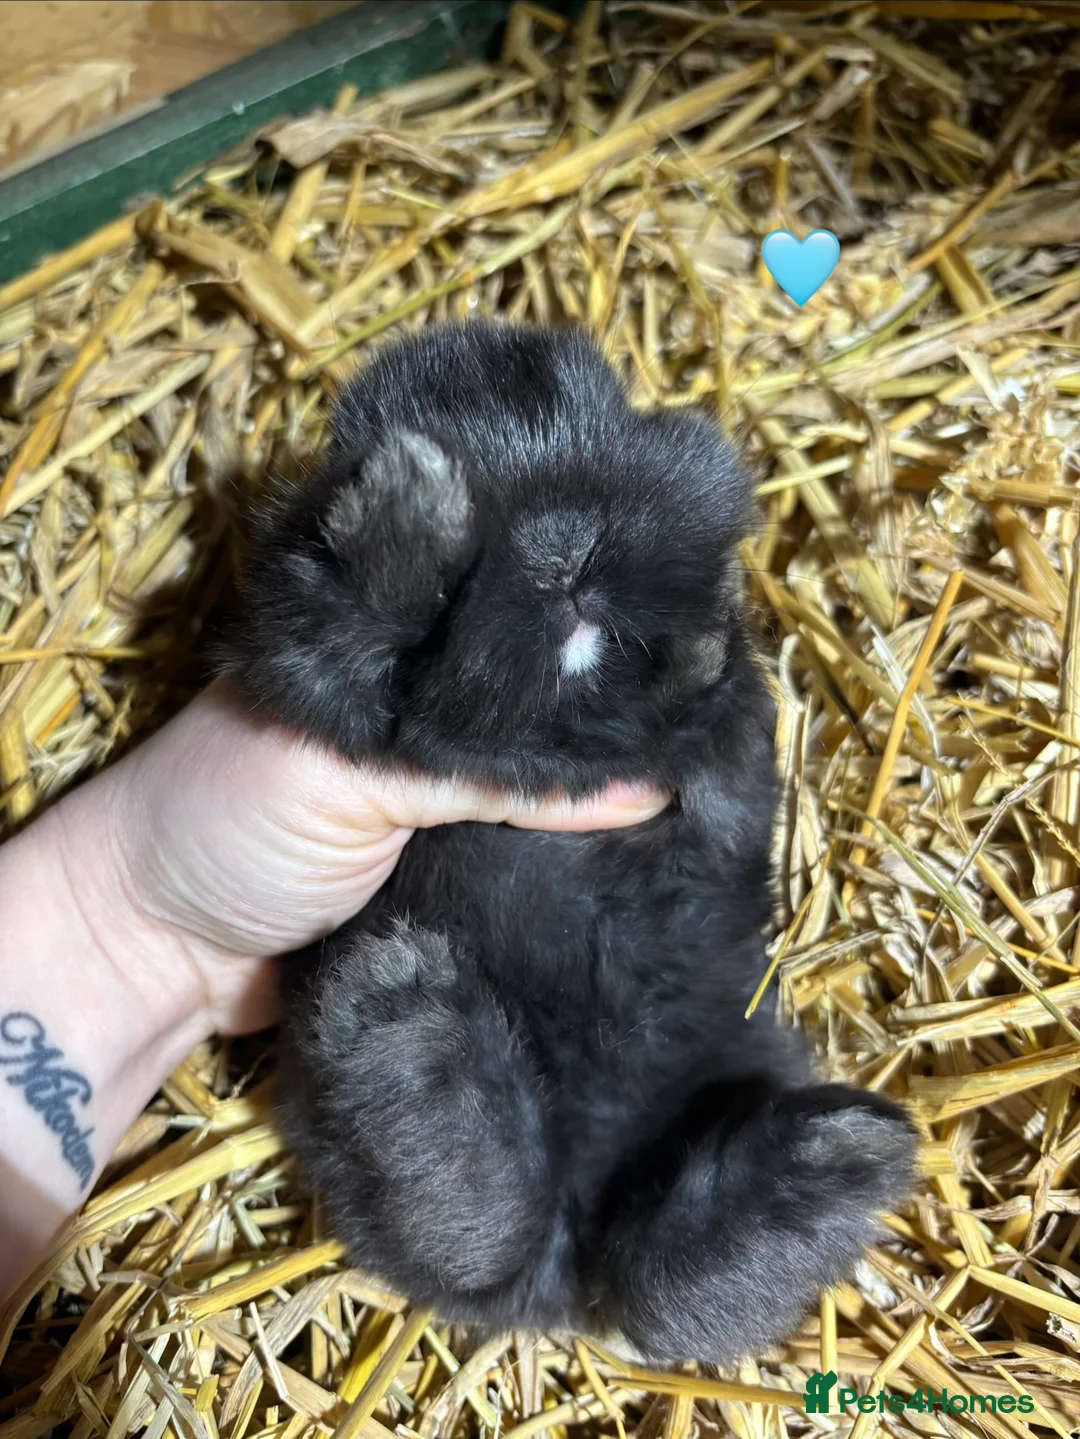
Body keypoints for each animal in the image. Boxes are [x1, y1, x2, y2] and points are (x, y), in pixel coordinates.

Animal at [225, 321, 916, 1364]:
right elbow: (356, 624)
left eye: (610, 420)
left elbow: (717, 728)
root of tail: (564, 1284)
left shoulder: (721, 766)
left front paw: (702, 646)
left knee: (660, 1283)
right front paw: (414, 499)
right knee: (488, 1233)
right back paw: (406, 1012)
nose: (562, 548)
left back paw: (843, 1151)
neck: (556, 738)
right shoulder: (312, 656)